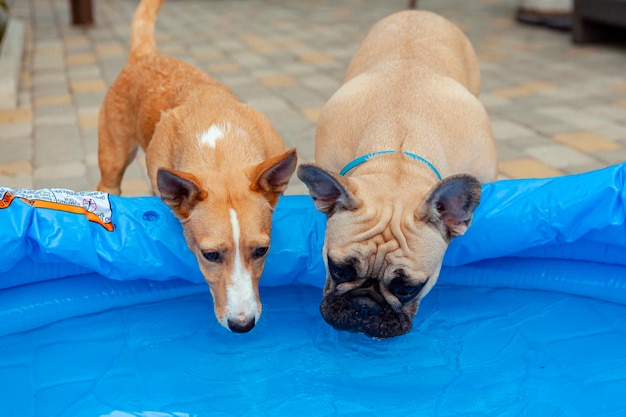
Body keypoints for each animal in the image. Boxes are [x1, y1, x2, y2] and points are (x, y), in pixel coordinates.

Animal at [99, 0, 298, 332]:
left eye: (262, 250)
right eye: (210, 255)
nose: (243, 325)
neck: (219, 147)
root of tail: (147, 55)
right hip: (113, 162)